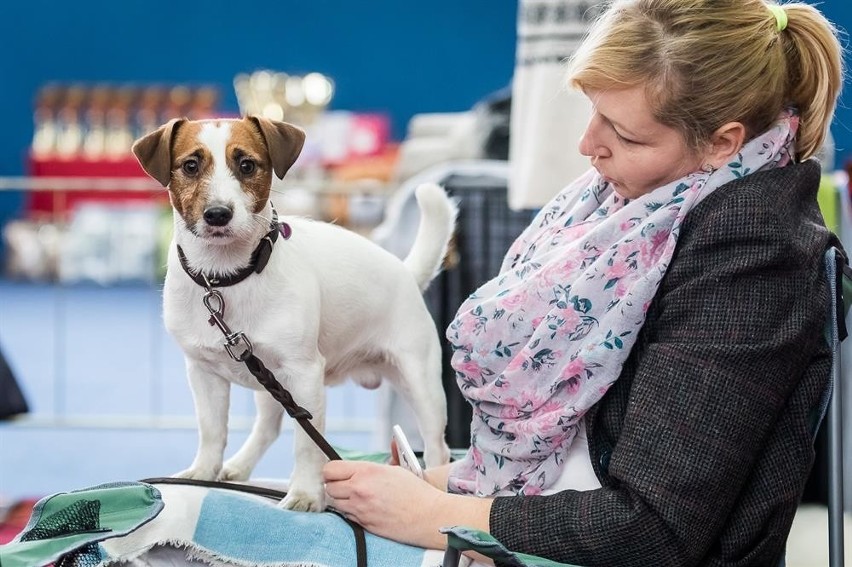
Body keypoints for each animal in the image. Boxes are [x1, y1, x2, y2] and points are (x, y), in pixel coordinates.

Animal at [131, 115, 456, 510]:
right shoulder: (204, 373)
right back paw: (238, 466)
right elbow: (211, 432)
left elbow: (306, 444)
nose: (218, 214)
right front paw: (204, 473)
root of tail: (406, 271)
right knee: (269, 427)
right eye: (190, 166)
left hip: (420, 382)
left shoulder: (303, 375)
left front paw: (305, 493)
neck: (226, 278)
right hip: (270, 382)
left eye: (247, 165)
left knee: (437, 447)